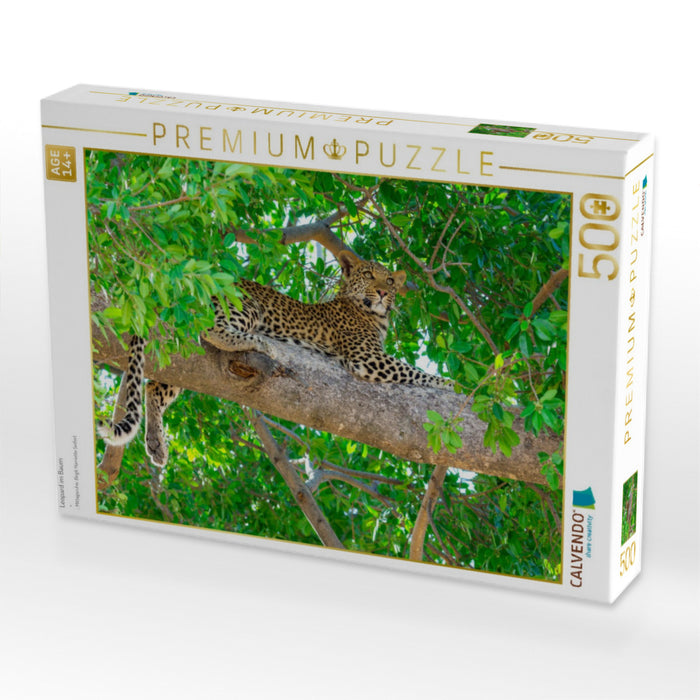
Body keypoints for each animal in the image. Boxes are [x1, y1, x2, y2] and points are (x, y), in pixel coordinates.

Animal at [98, 249, 451, 467]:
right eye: (367, 274)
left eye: (389, 280)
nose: (382, 292)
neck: (374, 315)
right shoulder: (367, 357)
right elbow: (415, 372)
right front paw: (450, 384)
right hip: (245, 306)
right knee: (212, 329)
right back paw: (259, 344)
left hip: (185, 362)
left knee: (154, 387)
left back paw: (156, 444)